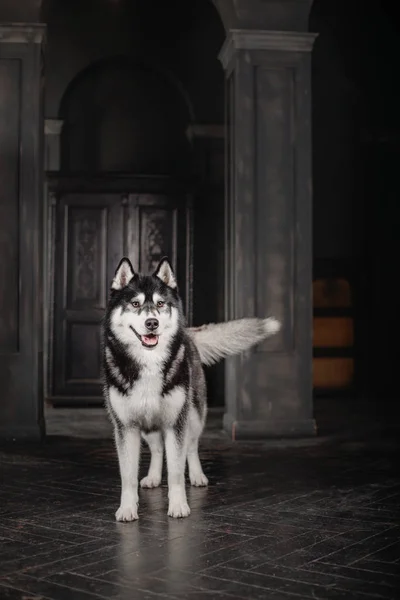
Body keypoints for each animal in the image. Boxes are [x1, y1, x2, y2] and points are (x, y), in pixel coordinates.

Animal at [103, 258, 282, 520]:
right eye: (135, 303)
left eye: (160, 303)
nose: (152, 323)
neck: (149, 362)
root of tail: (188, 334)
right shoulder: (126, 426)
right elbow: (128, 476)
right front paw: (127, 508)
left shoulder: (176, 422)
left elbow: (177, 471)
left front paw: (178, 505)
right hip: (149, 425)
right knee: (158, 448)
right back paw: (154, 477)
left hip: (194, 415)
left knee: (191, 446)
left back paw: (197, 475)